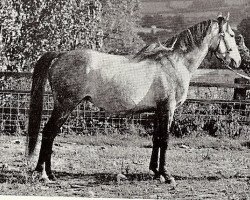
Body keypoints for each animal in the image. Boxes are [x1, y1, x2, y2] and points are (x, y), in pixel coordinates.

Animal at [26, 13, 241, 184]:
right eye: (231, 35)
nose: (237, 61)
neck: (175, 62)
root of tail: (60, 55)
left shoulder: (158, 110)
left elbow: (156, 138)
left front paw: (155, 171)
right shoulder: (168, 109)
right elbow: (165, 139)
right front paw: (166, 175)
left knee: (50, 134)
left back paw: (48, 173)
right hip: (65, 106)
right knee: (48, 132)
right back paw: (44, 174)